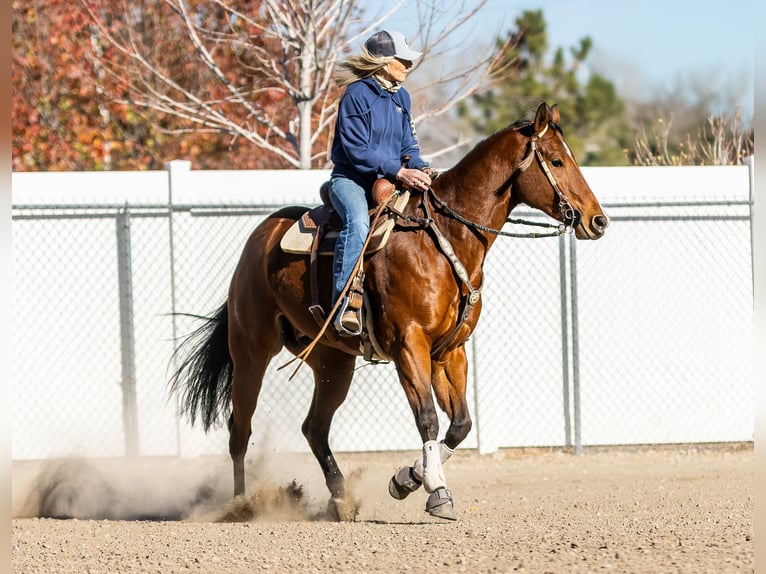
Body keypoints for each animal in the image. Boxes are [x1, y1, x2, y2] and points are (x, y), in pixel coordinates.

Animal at [170, 102, 609, 521]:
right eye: (557, 161)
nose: (598, 220)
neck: (441, 240)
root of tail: (259, 239)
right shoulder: (409, 345)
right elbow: (428, 418)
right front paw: (436, 491)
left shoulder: (449, 352)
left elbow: (460, 424)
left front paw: (406, 478)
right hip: (251, 352)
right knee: (239, 429)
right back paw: (240, 505)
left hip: (333, 363)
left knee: (314, 428)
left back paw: (341, 499)